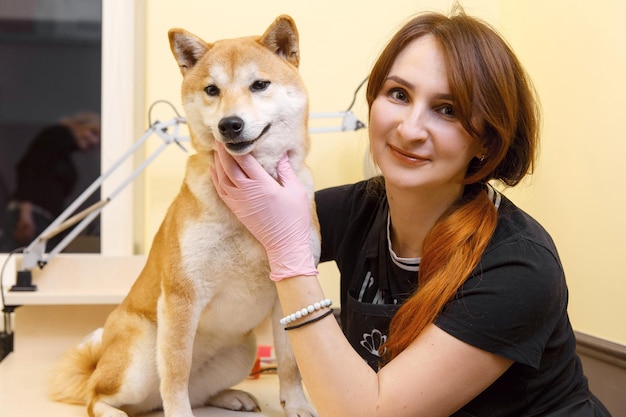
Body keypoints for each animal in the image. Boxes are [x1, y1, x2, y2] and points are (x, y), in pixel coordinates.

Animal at [50, 15, 316, 416]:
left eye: (259, 85)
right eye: (212, 89)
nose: (230, 124)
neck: (247, 213)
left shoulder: (288, 292)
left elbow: (289, 364)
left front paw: (297, 404)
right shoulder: (181, 298)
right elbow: (175, 373)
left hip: (243, 351)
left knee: (197, 392)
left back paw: (231, 396)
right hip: (138, 358)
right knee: (98, 397)